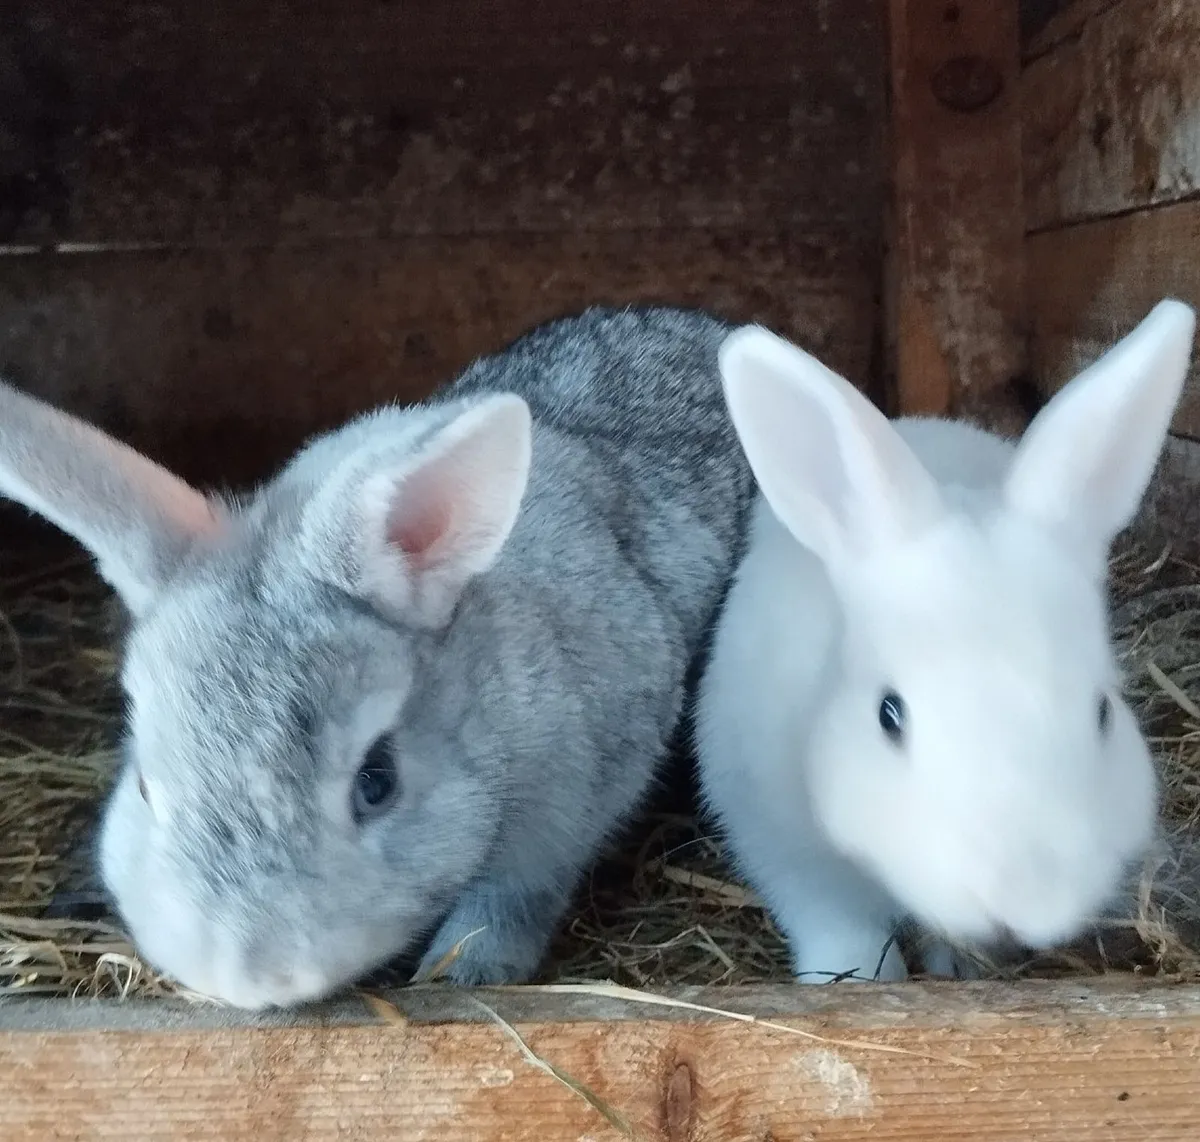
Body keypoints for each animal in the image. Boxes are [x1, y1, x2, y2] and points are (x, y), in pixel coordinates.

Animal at [0, 305, 758, 1009]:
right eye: (145, 787)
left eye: (377, 782)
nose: (251, 977)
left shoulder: (563, 816)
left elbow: (511, 898)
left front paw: (465, 970)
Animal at [695, 298, 1197, 984]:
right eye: (888, 715)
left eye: (1103, 714)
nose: (1019, 898)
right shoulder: (779, 837)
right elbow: (837, 923)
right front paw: (855, 978)